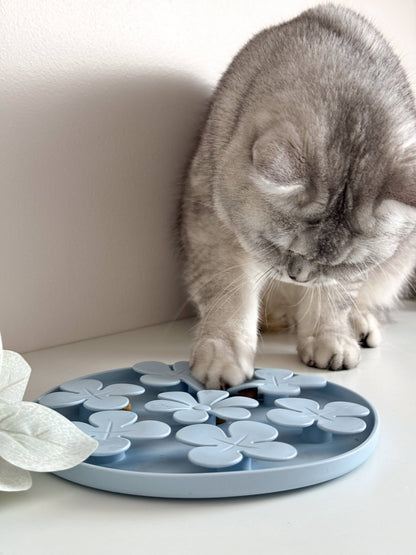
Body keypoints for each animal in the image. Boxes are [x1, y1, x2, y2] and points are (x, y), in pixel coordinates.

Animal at [179, 4, 416, 389]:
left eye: (341, 263)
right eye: (276, 245)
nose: (298, 278)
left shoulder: (347, 274)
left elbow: (333, 298)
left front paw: (329, 338)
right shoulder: (212, 229)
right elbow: (229, 299)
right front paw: (223, 355)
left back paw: (359, 325)